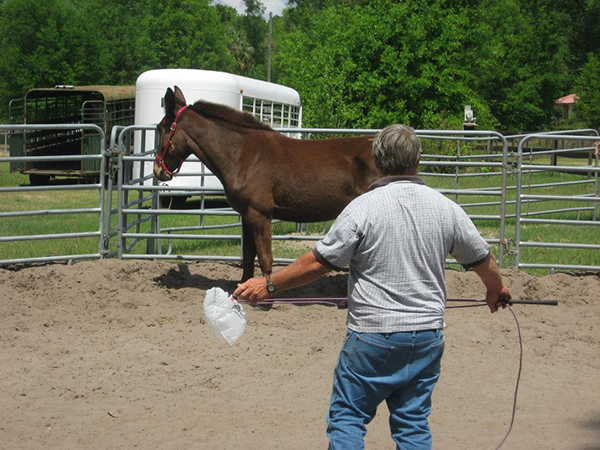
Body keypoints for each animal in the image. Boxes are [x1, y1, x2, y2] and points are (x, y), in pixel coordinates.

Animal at [154, 86, 380, 280]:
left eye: (161, 128)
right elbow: (248, 256)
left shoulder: (260, 214)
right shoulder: (247, 216)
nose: (158, 171)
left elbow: (264, 258)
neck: (243, 155)